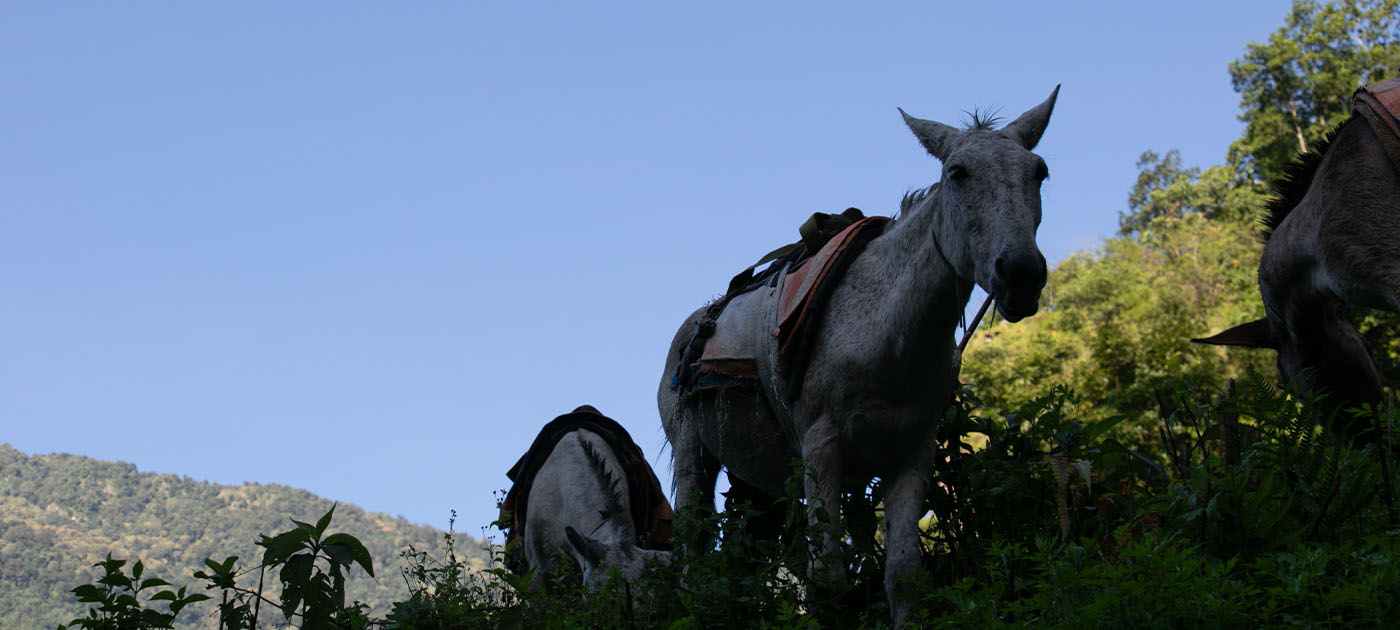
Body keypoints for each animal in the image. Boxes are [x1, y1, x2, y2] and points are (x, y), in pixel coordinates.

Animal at [659, 87, 1059, 626]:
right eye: (957, 173)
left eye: (1039, 172)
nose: (1021, 273)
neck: (888, 338)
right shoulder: (820, 451)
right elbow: (828, 582)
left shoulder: (912, 454)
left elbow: (904, 575)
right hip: (693, 456)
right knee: (693, 568)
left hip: (757, 481)